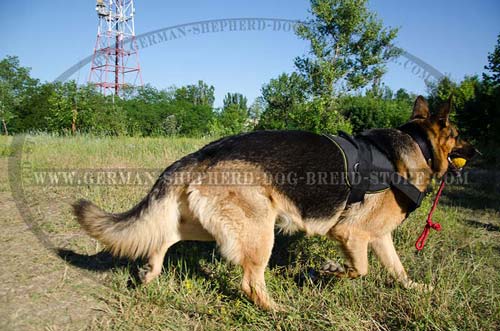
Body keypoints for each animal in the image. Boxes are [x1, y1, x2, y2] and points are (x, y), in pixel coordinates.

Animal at [73, 96, 476, 312]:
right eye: (459, 135)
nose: (478, 152)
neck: (417, 146)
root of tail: (203, 152)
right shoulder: (351, 233)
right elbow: (360, 270)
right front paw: (325, 272)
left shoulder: (378, 238)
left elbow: (398, 271)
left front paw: (416, 289)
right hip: (258, 232)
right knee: (250, 283)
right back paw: (276, 311)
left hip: (211, 225)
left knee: (165, 237)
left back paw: (150, 272)